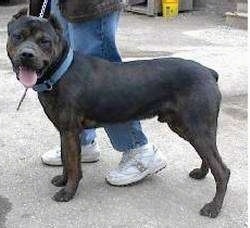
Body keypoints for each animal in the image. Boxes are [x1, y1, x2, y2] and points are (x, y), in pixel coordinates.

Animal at [6, 9, 230, 218]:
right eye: (18, 36)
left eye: (44, 41)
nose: (27, 55)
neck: (61, 72)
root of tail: (209, 73)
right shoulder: (64, 131)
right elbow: (65, 158)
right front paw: (62, 180)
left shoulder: (70, 131)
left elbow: (73, 165)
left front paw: (68, 192)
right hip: (187, 128)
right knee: (208, 156)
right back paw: (201, 173)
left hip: (197, 128)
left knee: (223, 170)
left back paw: (213, 207)